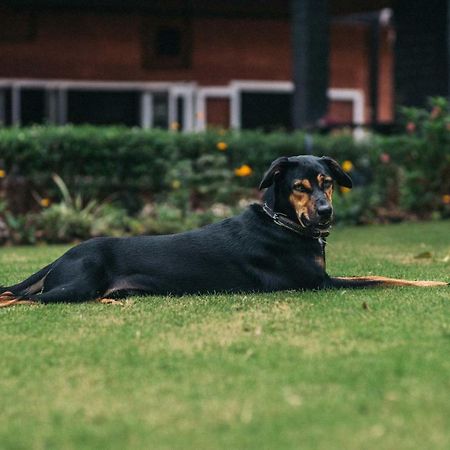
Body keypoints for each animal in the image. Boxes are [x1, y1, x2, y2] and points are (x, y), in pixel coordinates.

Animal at [0, 155, 444, 306]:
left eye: (327, 182)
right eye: (300, 187)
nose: (325, 212)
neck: (283, 223)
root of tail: (63, 254)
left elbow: (378, 274)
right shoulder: (319, 284)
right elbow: (381, 278)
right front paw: (434, 283)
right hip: (75, 286)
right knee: (24, 300)